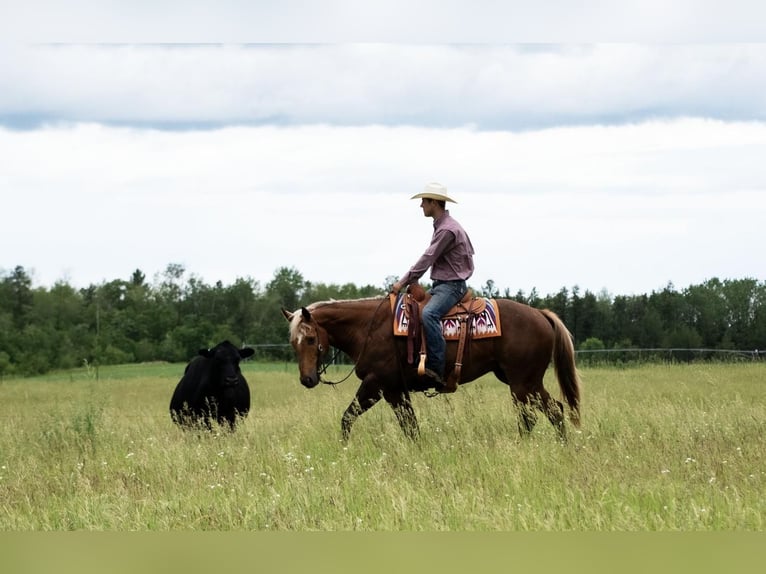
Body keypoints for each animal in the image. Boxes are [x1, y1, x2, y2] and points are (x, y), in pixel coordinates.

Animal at [282, 294, 584, 444]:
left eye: (311, 339)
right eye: (293, 341)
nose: (307, 379)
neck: (370, 327)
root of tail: (541, 314)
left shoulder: (377, 384)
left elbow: (349, 417)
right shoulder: (395, 390)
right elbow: (409, 426)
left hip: (522, 384)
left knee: (535, 416)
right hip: (525, 382)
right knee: (554, 411)